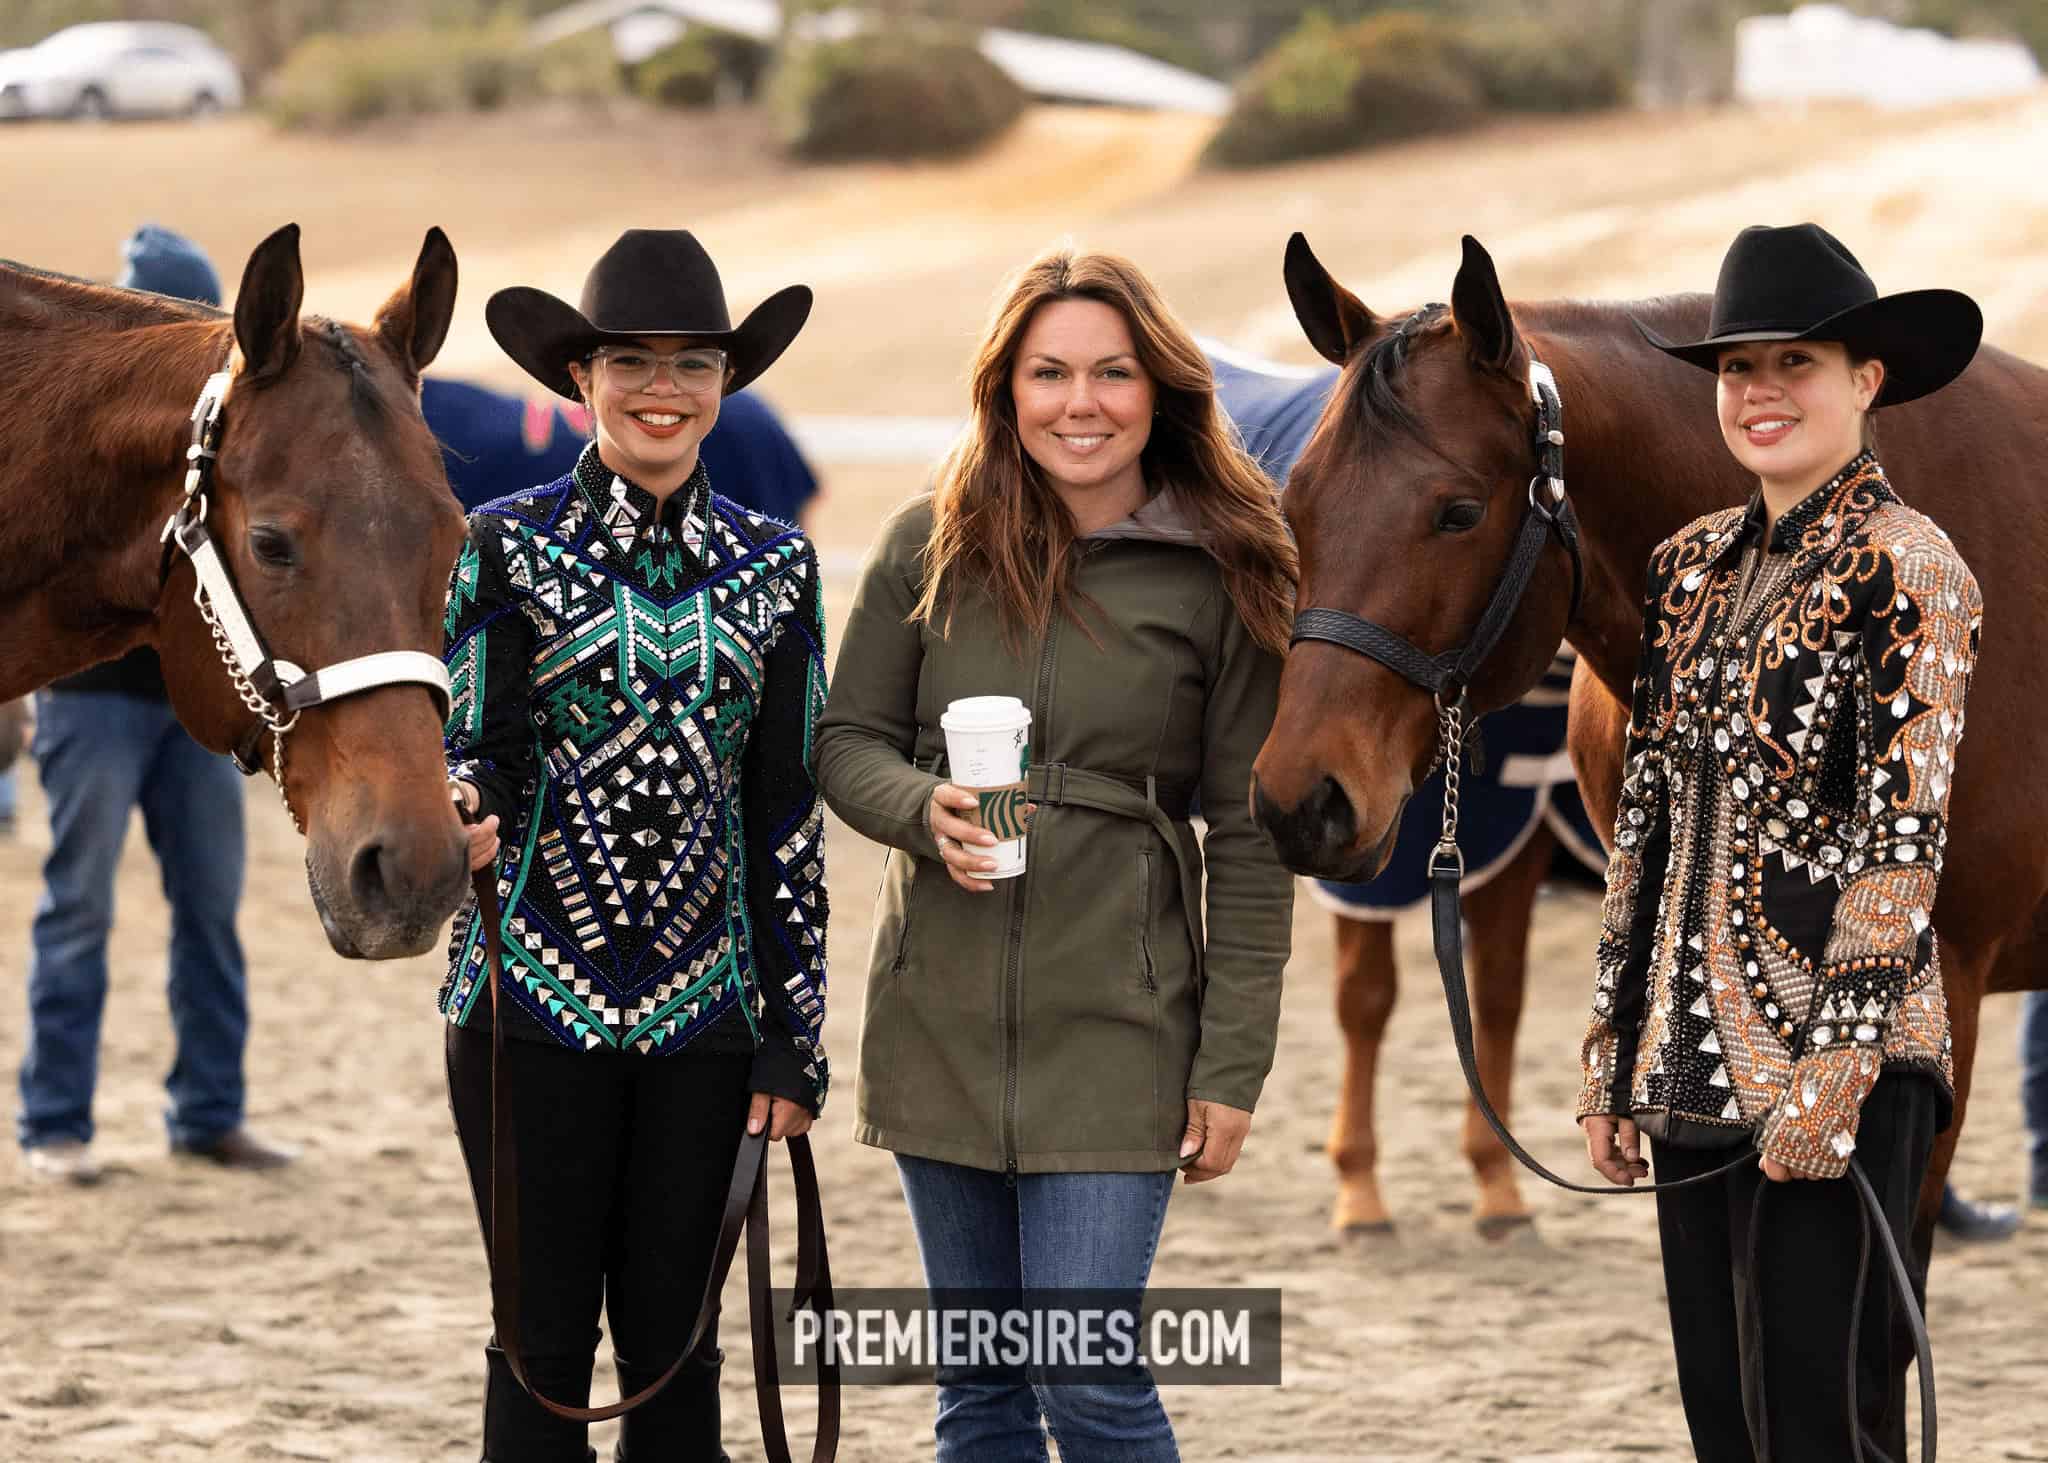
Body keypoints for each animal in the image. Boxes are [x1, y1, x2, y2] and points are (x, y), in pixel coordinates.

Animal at [1210, 342, 1606, 1234]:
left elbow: (1496, 993)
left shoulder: (1504, 836)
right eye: (1289, 512)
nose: (1294, 800)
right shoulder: (1370, 854)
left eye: (1460, 513)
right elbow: (1366, 999)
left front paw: (1497, 1182)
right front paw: (1358, 1187)